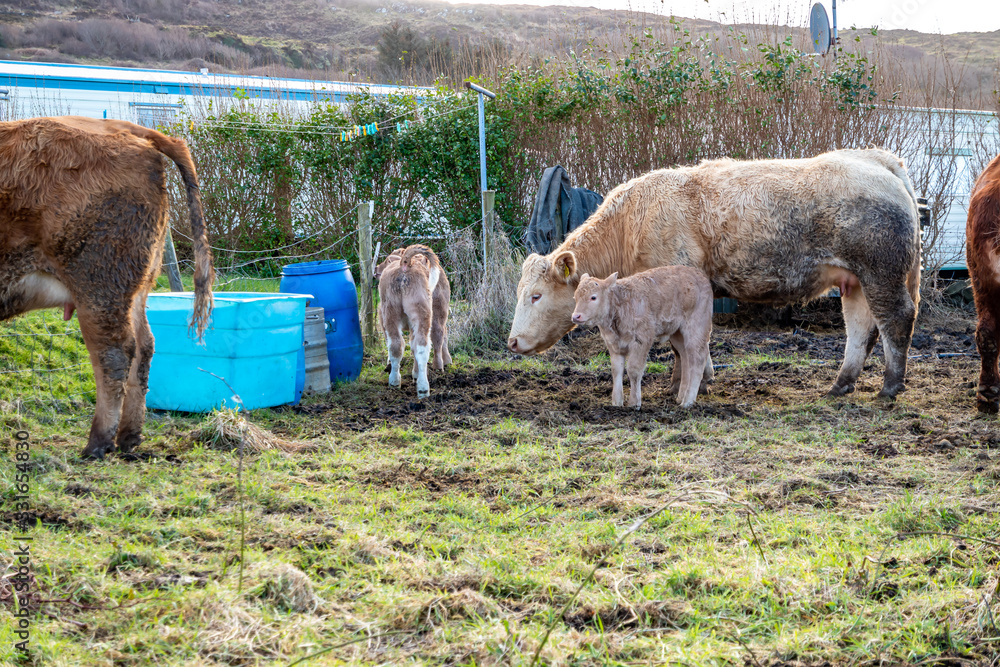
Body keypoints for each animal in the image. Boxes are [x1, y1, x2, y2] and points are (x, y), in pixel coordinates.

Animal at [0, 116, 214, 459]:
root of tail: (122, 127)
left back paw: (98, 443)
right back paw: (129, 438)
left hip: (99, 288)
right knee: (144, 348)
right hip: (135, 290)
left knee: (114, 354)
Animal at [572, 267, 714, 409]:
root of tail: (699, 274)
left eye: (593, 297)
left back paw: (688, 401)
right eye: (575, 297)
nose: (576, 316)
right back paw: (680, 397)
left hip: (696, 327)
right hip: (677, 333)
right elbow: (616, 370)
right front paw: (616, 402)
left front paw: (634, 403)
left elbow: (634, 370)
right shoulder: (614, 344)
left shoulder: (641, 340)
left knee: (698, 357)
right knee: (685, 357)